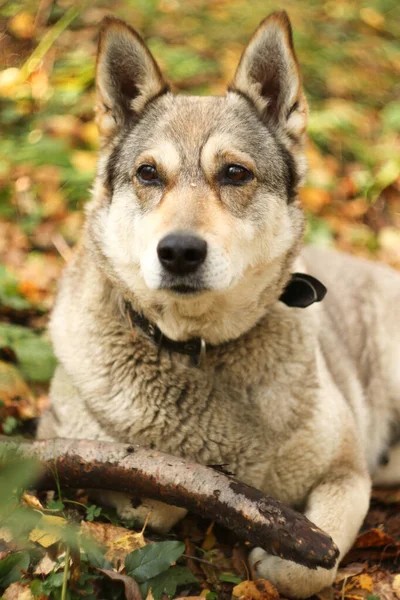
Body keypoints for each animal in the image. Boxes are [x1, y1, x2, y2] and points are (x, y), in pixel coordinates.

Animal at [37, 11, 400, 596]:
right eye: (148, 173)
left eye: (235, 173)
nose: (180, 251)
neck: (198, 346)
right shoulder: (64, 442)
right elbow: (154, 501)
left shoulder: (346, 470)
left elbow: (314, 559)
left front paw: (280, 559)